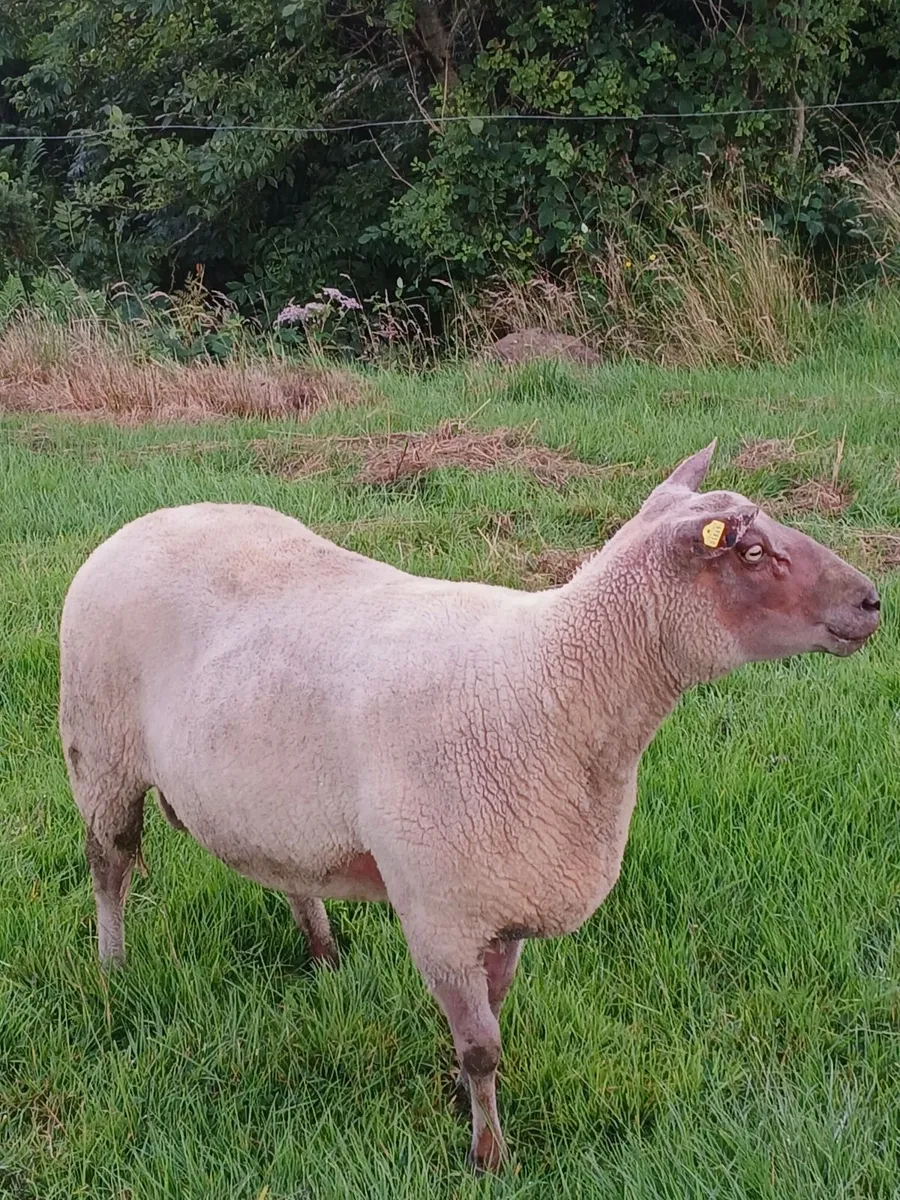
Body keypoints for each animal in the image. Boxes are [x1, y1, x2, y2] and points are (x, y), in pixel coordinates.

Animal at [58, 440, 880, 1172]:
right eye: (753, 554)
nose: (873, 600)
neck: (553, 684)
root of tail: (146, 520)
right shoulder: (442, 912)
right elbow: (483, 1045)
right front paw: (488, 1155)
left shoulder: (506, 899)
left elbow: (493, 1014)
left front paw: (462, 1099)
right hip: (99, 750)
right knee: (110, 865)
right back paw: (114, 969)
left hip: (270, 800)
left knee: (287, 871)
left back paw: (323, 954)